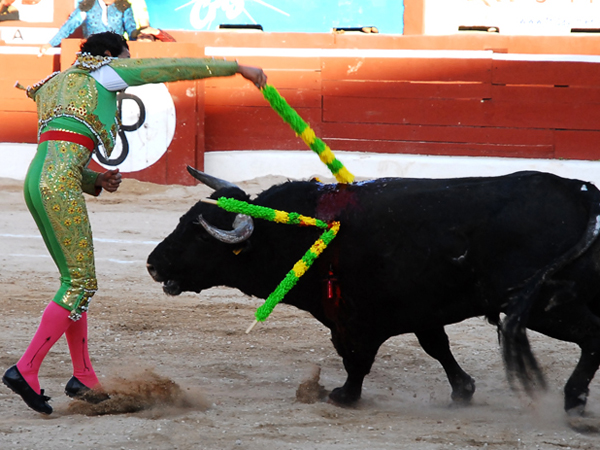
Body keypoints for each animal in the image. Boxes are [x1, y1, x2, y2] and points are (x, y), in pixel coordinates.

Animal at [146, 171, 600, 416]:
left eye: (199, 235)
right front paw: (463, 391)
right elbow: (437, 347)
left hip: (541, 305)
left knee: (592, 336)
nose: (152, 264)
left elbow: (357, 360)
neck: (301, 232)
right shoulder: (422, 311)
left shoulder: (354, 320)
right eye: (183, 219)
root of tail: (579, 191)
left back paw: (573, 401)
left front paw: (343, 396)